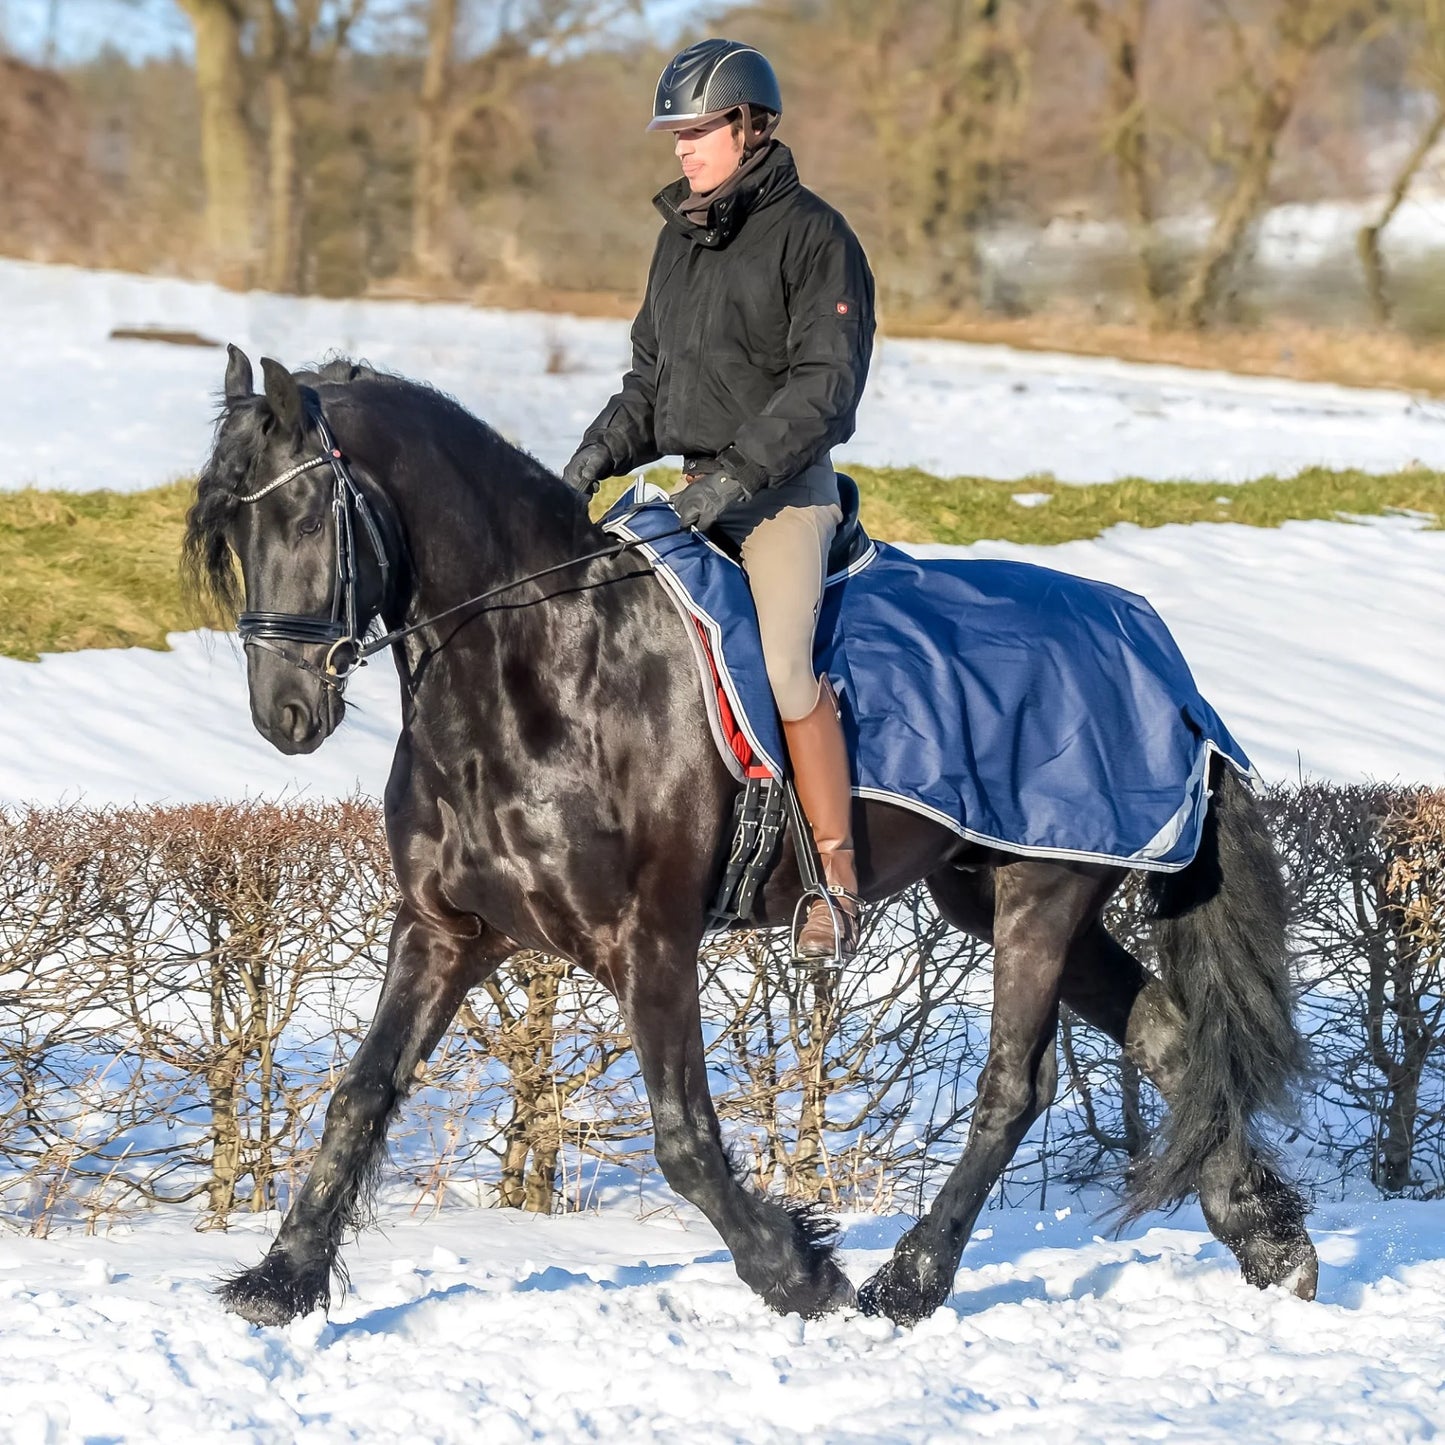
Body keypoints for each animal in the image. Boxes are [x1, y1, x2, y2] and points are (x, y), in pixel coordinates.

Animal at [184, 347, 1318, 1329]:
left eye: (300, 510)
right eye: (229, 533)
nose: (283, 712)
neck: (537, 666)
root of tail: (1158, 657)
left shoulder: (648, 940)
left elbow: (684, 1139)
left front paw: (797, 1270)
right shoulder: (442, 930)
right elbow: (360, 1094)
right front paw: (279, 1281)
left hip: (1042, 891)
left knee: (1014, 1086)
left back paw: (907, 1282)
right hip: (996, 891)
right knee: (1167, 1033)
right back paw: (1271, 1242)